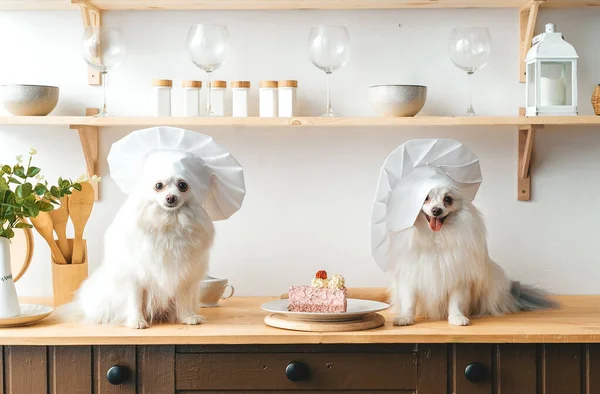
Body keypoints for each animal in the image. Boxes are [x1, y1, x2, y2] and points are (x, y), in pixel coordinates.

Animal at [76, 171, 213, 328]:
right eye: (158, 186)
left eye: (183, 185)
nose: (171, 197)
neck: (168, 223)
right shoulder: (135, 277)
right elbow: (135, 302)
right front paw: (137, 321)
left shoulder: (183, 276)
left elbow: (184, 299)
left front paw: (188, 316)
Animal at [392, 185, 556, 326]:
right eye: (425, 198)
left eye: (448, 199)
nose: (436, 210)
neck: (437, 238)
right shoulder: (410, 276)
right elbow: (409, 301)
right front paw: (405, 318)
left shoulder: (459, 278)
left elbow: (455, 302)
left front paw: (457, 317)